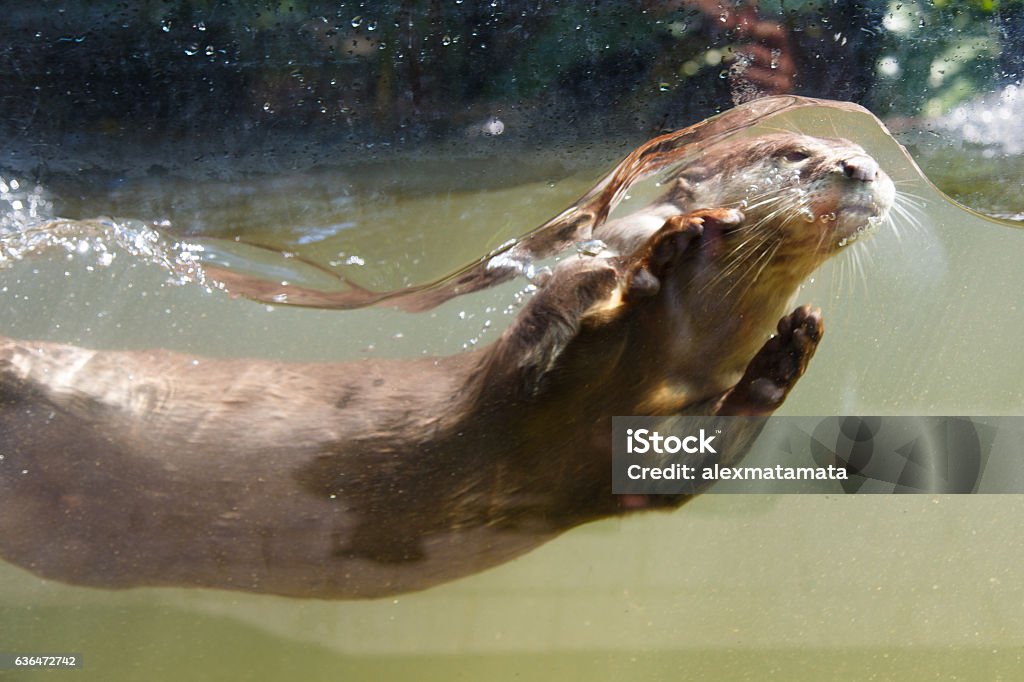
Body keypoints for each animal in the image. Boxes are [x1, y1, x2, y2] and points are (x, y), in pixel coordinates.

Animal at [0, 131, 897, 593]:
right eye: (793, 152)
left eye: (856, 148)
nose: (865, 166)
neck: (674, 355)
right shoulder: (518, 380)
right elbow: (555, 348)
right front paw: (662, 251)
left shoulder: (650, 440)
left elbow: (685, 466)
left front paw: (790, 345)